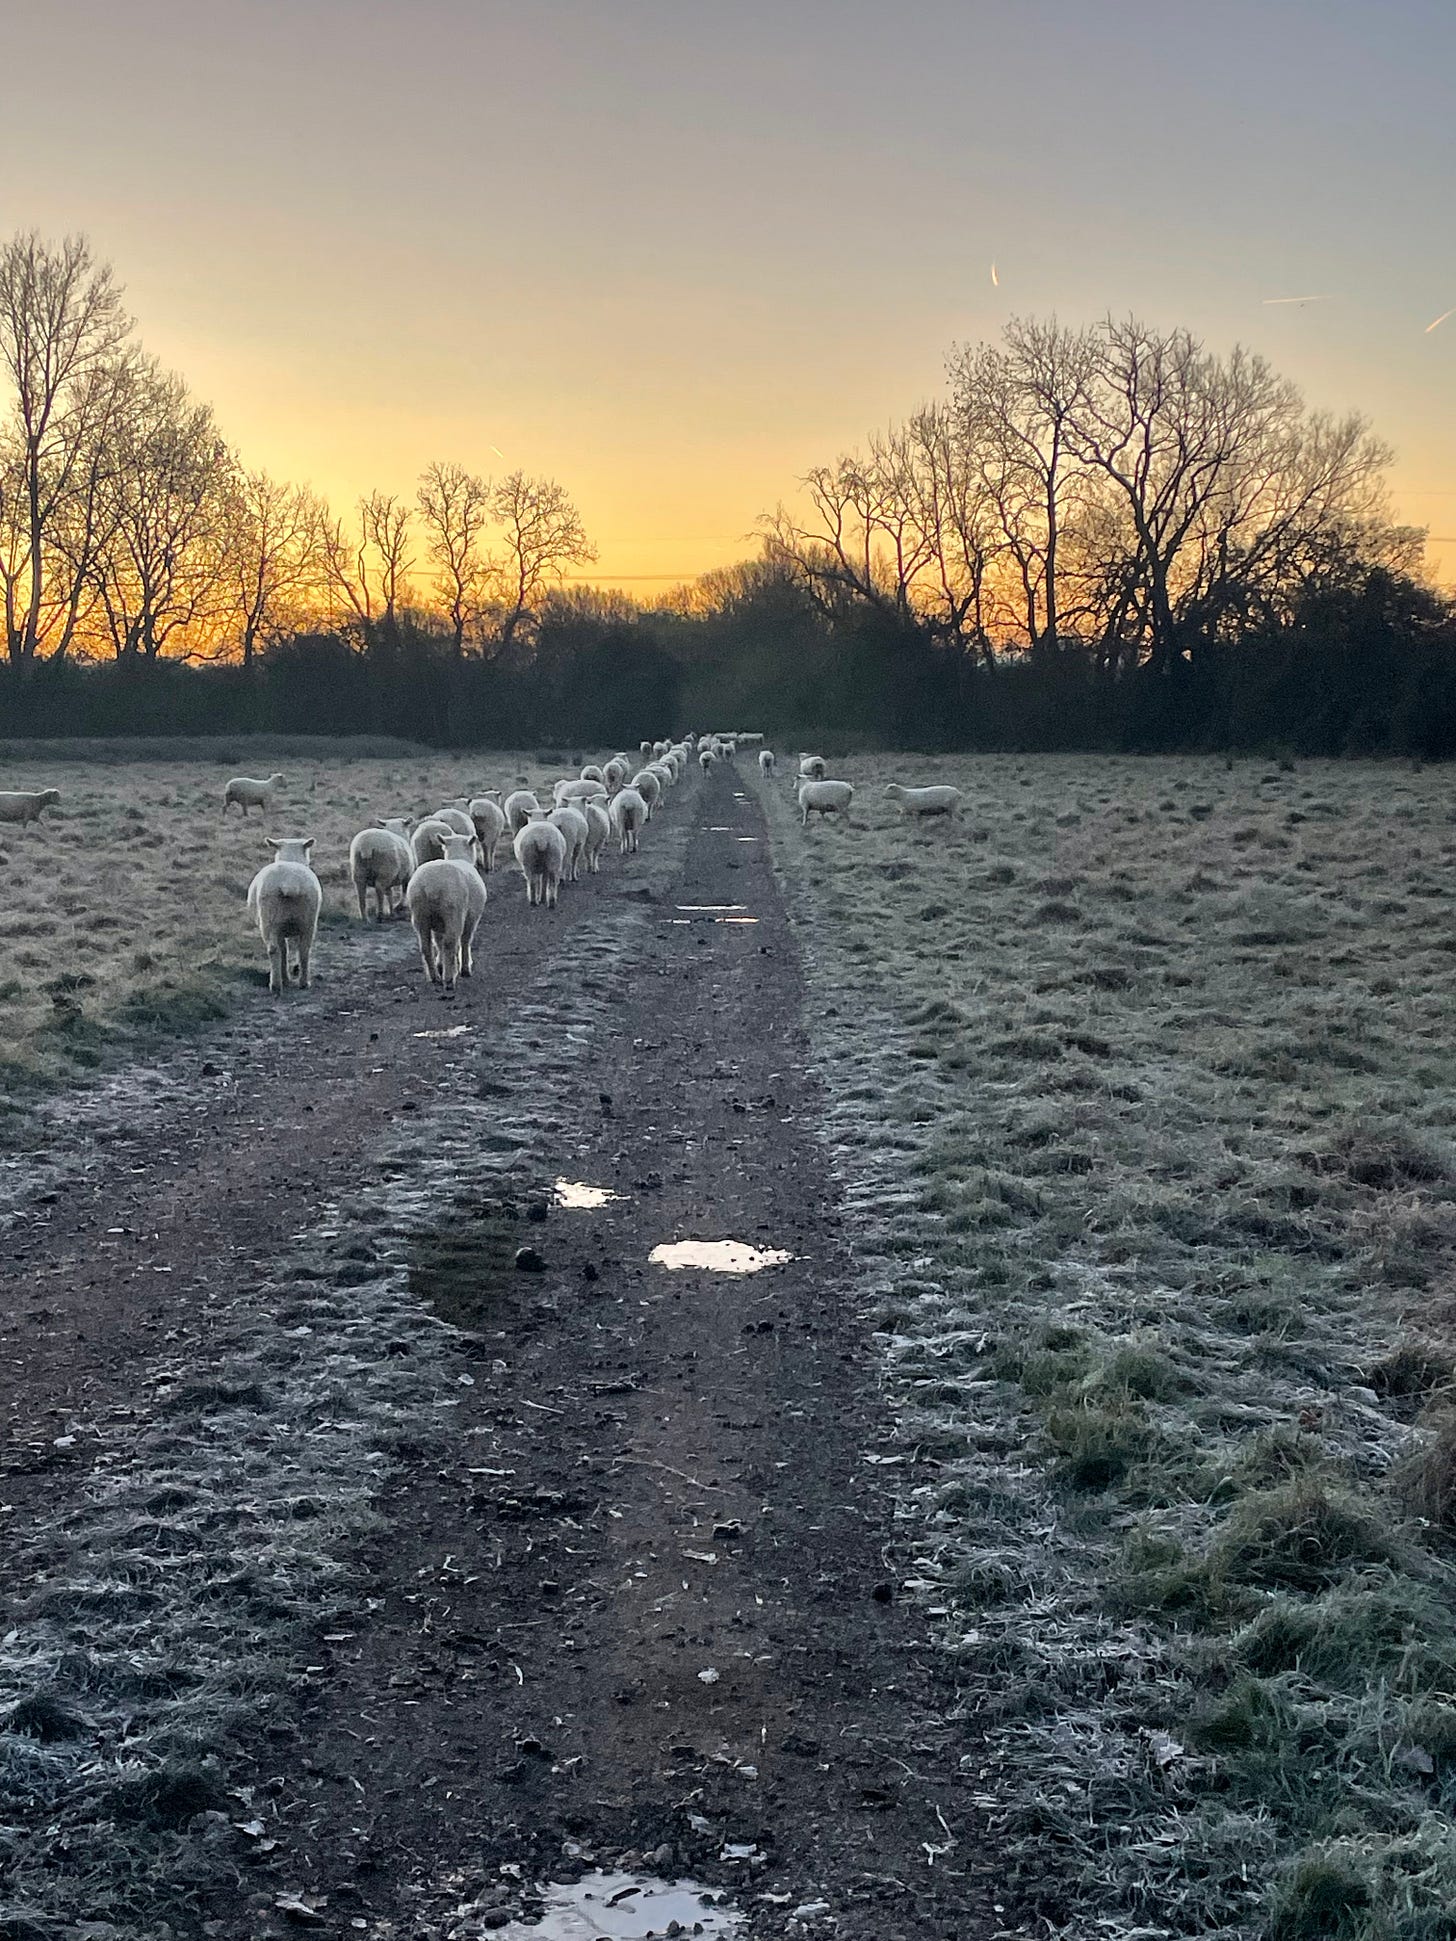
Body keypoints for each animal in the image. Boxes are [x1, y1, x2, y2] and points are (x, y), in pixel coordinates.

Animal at [246, 838, 321, 994]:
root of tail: (289, 882)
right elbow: (285, 950)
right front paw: (286, 978)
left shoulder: (279, 930)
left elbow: (284, 950)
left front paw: (285, 979)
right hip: (306, 920)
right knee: (302, 949)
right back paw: (299, 983)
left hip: (270, 920)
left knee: (276, 949)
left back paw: (278, 984)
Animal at [406, 833, 487, 992]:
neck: (459, 857)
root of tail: (430, 885)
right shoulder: (472, 918)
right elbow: (465, 941)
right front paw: (465, 969)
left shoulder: (438, 924)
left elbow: (438, 941)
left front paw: (440, 965)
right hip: (453, 913)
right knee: (450, 943)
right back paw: (449, 980)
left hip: (420, 914)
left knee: (425, 946)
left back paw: (434, 977)